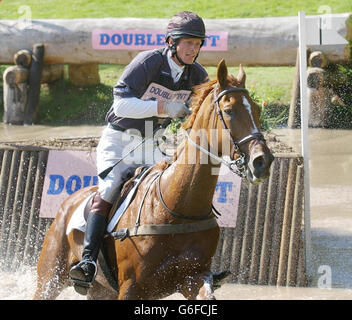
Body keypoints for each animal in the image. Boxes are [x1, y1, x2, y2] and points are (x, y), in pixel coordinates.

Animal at [34, 60, 274, 300]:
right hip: (49, 278)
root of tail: (69, 201)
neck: (179, 206)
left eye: (257, 110)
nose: (262, 161)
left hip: (100, 290)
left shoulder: (193, 277)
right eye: (229, 111)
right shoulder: (130, 287)